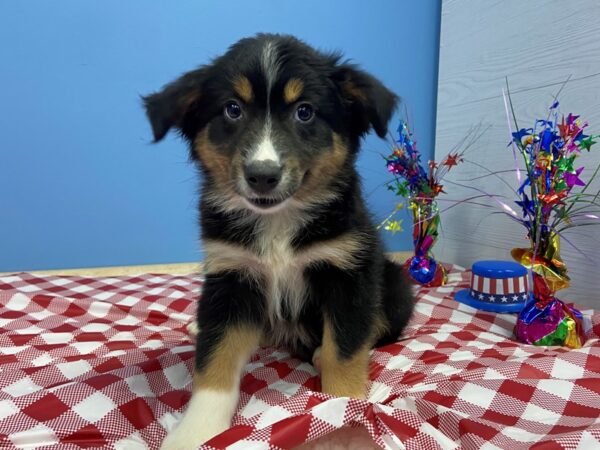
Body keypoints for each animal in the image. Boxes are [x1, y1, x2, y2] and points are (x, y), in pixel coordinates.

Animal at [144, 33, 418, 448]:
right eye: (232, 109)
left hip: (393, 280)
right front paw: (195, 431)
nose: (262, 175)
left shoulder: (348, 271)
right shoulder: (231, 276)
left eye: (305, 112)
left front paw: (345, 407)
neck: (277, 221)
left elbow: (346, 348)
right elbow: (215, 359)